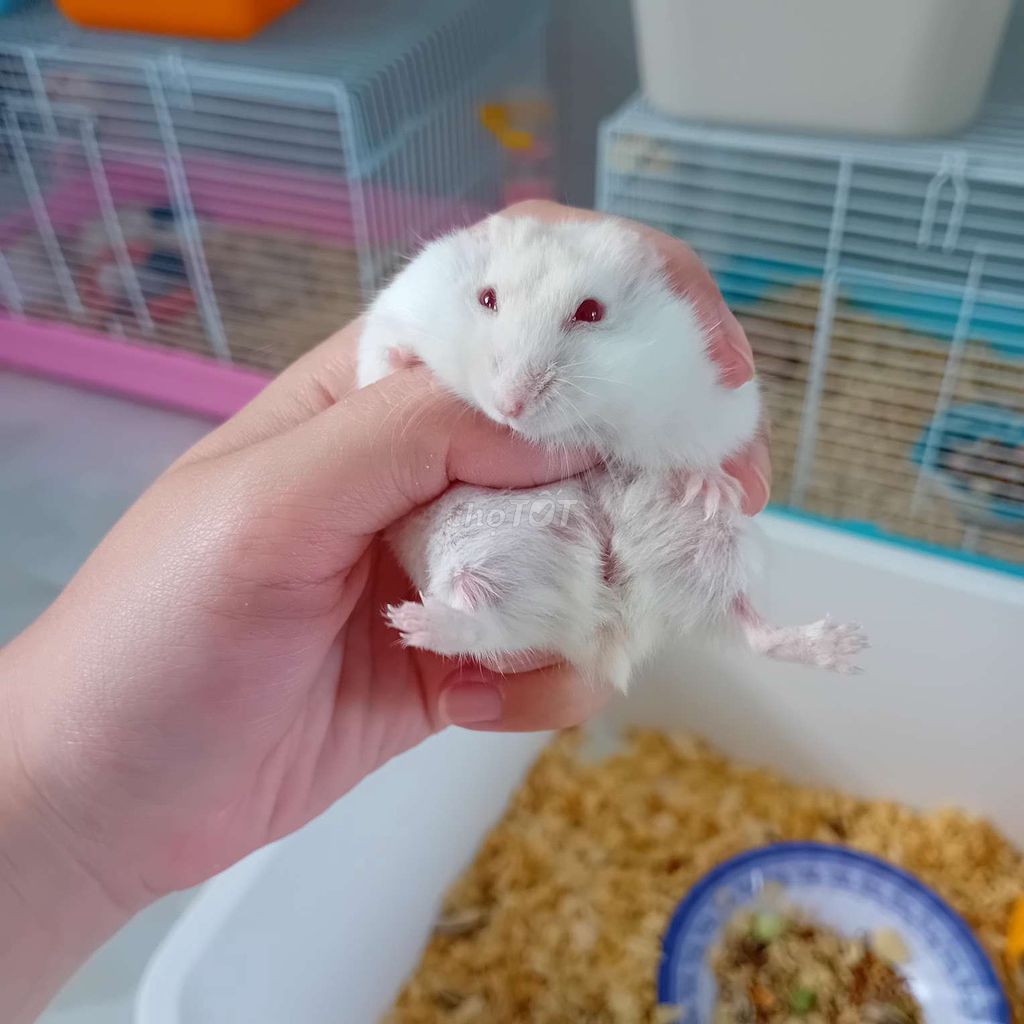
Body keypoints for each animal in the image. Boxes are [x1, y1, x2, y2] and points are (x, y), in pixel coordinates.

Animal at [360, 215, 867, 690]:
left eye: (590, 311)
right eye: (487, 298)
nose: (509, 408)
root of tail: (609, 631)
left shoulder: (710, 398)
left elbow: (698, 448)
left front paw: (710, 486)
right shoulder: (390, 318)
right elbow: (381, 359)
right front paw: (407, 360)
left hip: (721, 548)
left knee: (750, 625)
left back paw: (848, 647)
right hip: (473, 560)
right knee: (482, 621)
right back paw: (412, 621)